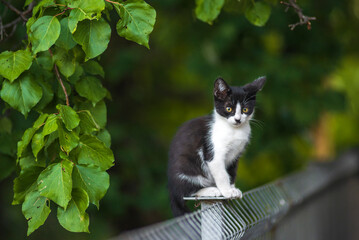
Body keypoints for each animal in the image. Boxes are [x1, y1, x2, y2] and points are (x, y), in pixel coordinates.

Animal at [167, 76, 266, 216]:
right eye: (228, 108)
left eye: (245, 110)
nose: (238, 120)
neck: (233, 130)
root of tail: (171, 190)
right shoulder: (213, 153)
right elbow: (222, 174)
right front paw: (227, 191)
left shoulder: (236, 154)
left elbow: (231, 172)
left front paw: (233, 188)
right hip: (185, 168)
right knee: (185, 192)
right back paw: (210, 190)